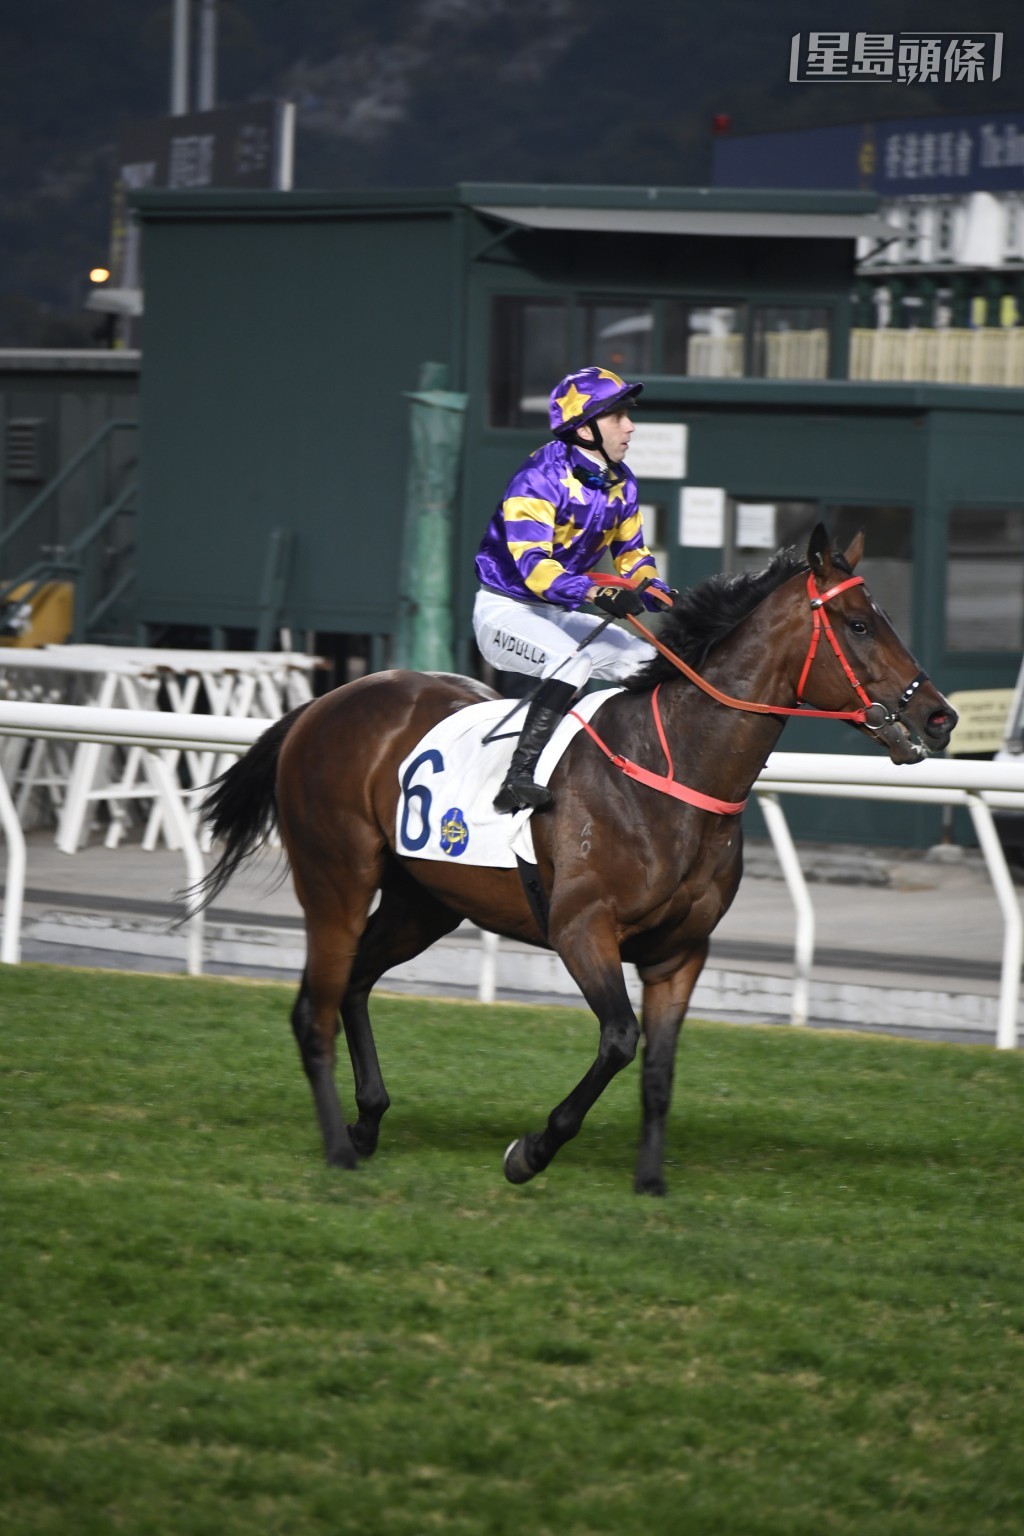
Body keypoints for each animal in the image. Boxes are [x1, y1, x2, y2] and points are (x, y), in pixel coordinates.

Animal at [194, 531, 964, 1198]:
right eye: (859, 624)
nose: (940, 717)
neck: (674, 767)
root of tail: (324, 703)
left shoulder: (681, 952)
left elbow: (658, 1069)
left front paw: (650, 1183)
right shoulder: (581, 927)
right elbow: (620, 1040)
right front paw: (530, 1151)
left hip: (426, 902)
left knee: (353, 983)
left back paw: (367, 1121)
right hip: (338, 880)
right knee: (314, 1009)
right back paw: (337, 1148)